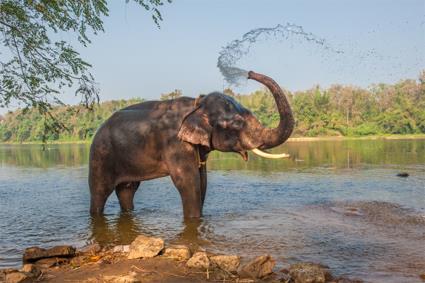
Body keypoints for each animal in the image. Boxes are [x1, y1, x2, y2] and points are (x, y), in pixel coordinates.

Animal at [88, 71, 294, 217]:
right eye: (237, 124)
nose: (249, 73)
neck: (197, 104)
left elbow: (202, 180)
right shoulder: (175, 144)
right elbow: (188, 182)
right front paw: (194, 220)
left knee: (127, 190)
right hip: (101, 155)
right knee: (100, 191)